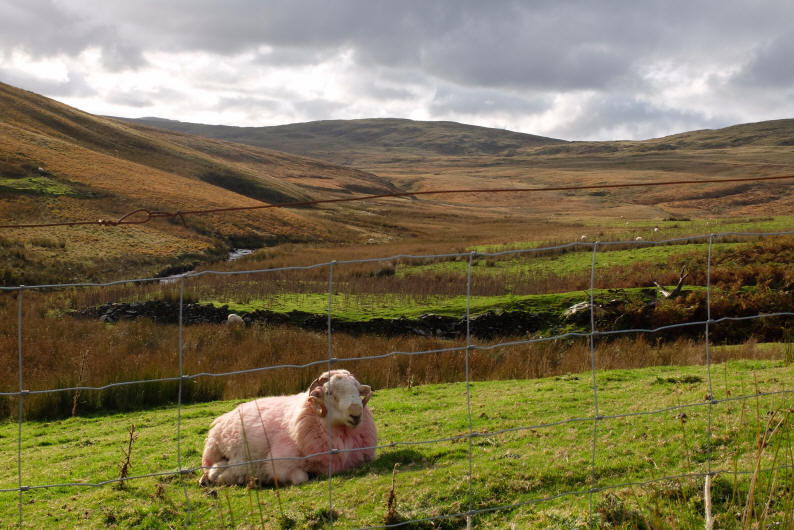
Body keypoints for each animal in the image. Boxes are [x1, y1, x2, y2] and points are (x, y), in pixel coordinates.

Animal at [196, 370, 372, 484]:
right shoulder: (279, 463)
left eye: (358, 391)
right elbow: (301, 478)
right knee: (212, 470)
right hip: (213, 450)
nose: (356, 414)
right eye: (329, 392)